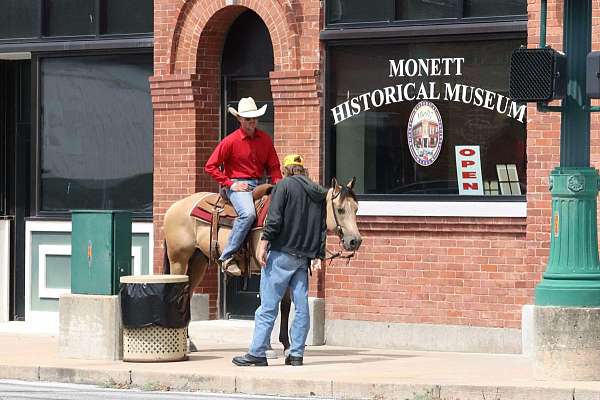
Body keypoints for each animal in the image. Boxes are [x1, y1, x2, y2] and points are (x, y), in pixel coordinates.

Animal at [162, 178, 364, 354]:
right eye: (340, 210)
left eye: (356, 208)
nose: (355, 241)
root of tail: (174, 207)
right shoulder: (267, 269)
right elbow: (269, 304)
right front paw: (266, 347)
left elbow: (284, 306)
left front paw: (285, 344)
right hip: (179, 260)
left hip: (198, 262)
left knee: (187, 296)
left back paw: (189, 341)